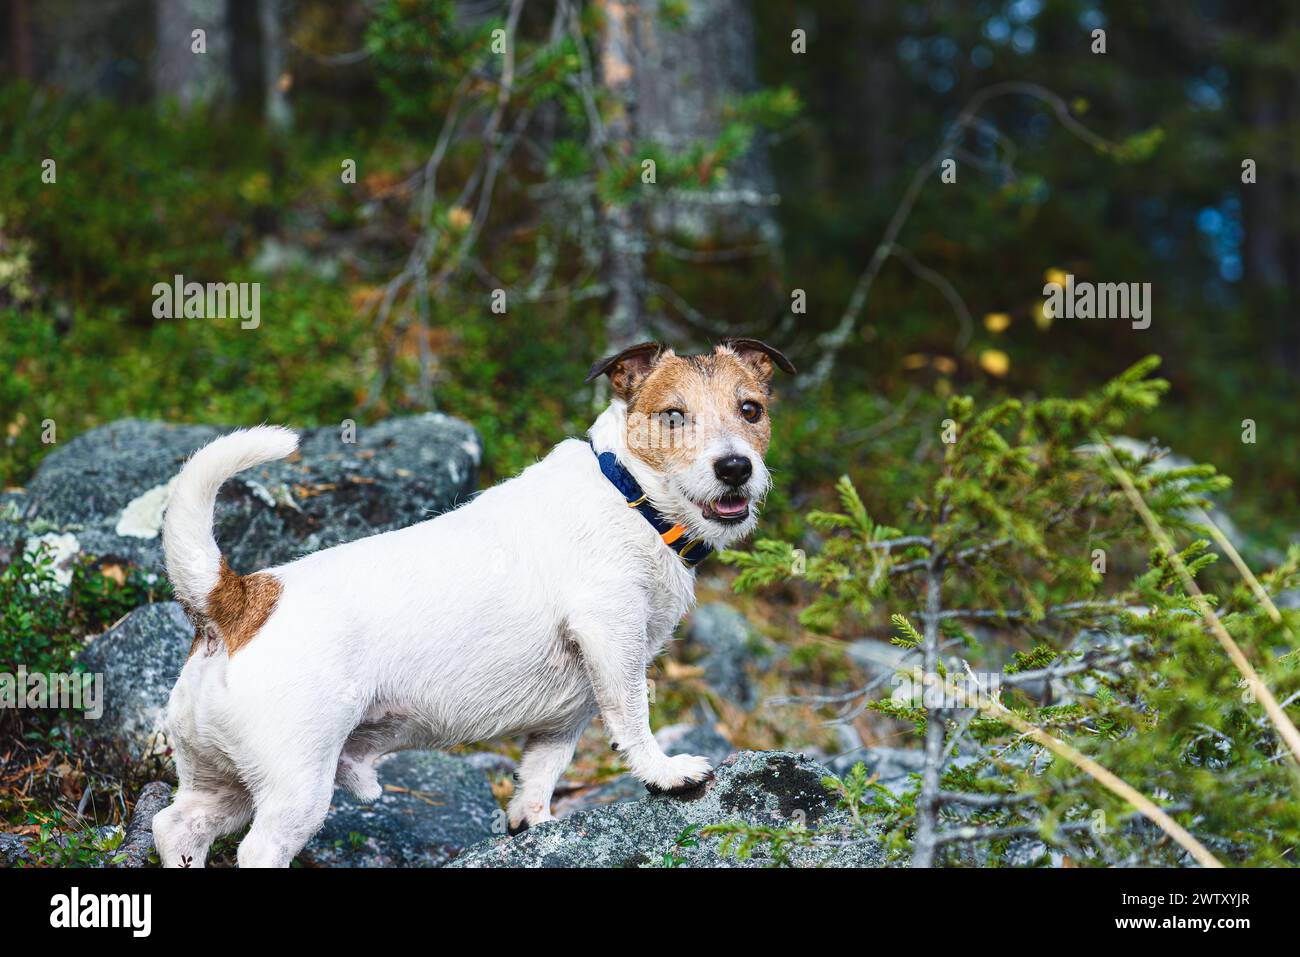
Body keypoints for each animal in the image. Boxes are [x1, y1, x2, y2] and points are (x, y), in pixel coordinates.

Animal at [157, 338, 795, 868]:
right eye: (674, 416)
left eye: (751, 410)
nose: (735, 468)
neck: (633, 496)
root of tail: (237, 600)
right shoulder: (612, 640)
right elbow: (635, 721)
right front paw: (665, 773)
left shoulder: (566, 718)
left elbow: (540, 774)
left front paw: (534, 824)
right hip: (295, 790)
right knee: (257, 849)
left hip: (221, 785)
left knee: (175, 827)